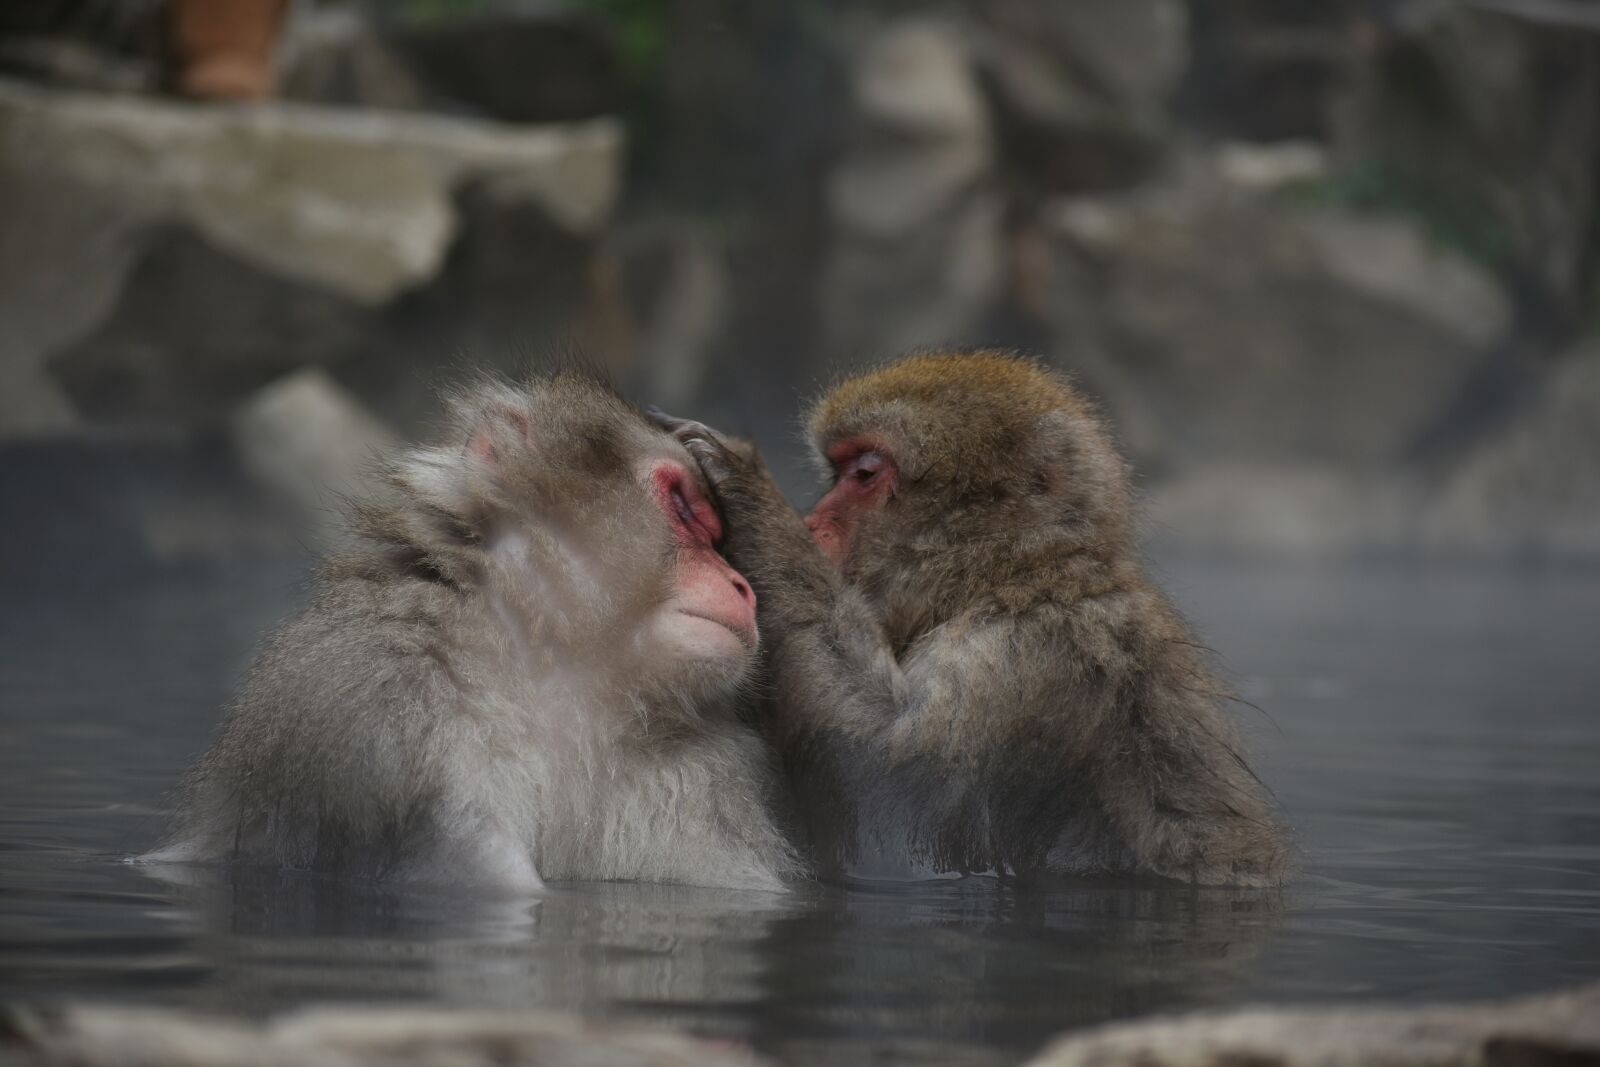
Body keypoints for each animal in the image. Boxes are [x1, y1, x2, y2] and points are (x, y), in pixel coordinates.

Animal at [145, 368, 802, 893]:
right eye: (685, 508)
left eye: (721, 539)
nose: (741, 586)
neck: (561, 673)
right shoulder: (379, 710)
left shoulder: (696, 784)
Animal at [653, 350, 1289, 886]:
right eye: (838, 473)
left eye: (865, 473)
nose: (812, 523)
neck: (1012, 578)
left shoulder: (1024, 659)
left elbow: (887, 800)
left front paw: (744, 490)